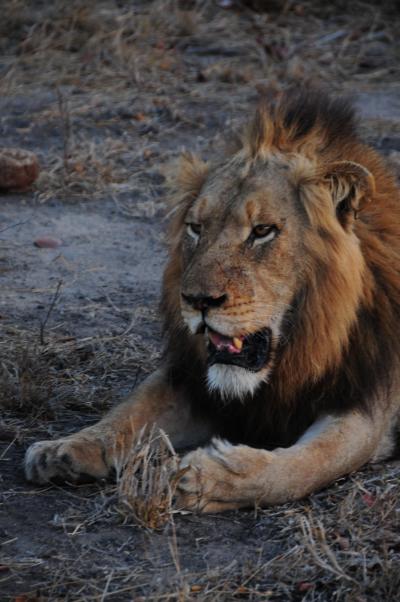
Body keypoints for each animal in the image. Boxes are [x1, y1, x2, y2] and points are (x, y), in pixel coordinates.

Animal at [24, 90, 400, 510]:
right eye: (196, 228)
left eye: (263, 231)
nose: (197, 300)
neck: (301, 347)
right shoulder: (193, 380)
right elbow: (130, 411)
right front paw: (64, 448)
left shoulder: (366, 407)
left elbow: (305, 465)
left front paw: (203, 476)